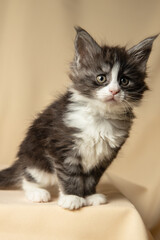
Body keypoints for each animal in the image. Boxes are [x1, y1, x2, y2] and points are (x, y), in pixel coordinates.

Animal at [0, 26, 158, 210]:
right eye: (101, 78)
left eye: (124, 81)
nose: (114, 91)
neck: (100, 117)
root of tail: (21, 160)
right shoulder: (62, 146)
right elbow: (70, 175)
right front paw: (72, 197)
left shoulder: (104, 155)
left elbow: (91, 178)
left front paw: (90, 195)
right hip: (37, 159)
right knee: (26, 177)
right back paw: (37, 193)